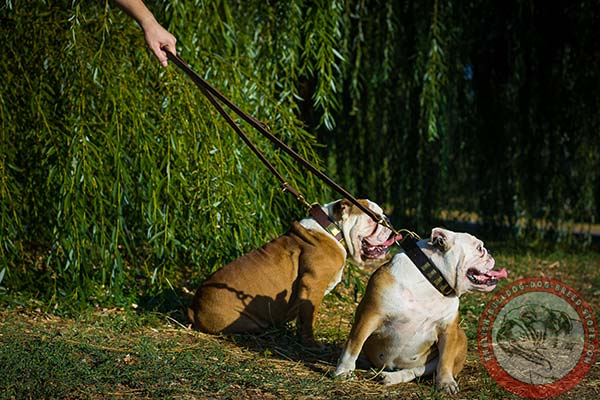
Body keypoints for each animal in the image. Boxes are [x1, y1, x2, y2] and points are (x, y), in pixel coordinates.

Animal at [189, 198, 398, 346]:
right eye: (375, 218)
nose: (388, 219)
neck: (332, 229)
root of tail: (194, 306)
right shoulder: (312, 285)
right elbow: (308, 318)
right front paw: (311, 343)